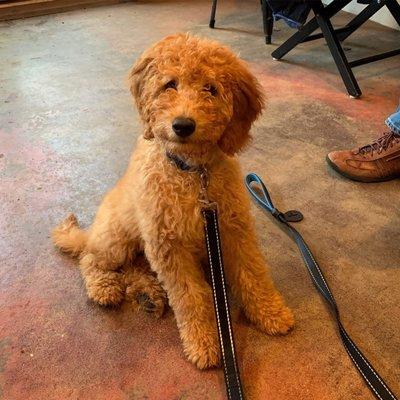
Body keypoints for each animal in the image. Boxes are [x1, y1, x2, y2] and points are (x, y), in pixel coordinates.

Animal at [52, 34, 294, 368]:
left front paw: (271, 312)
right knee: (91, 258)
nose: (182, 125)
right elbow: (190, 296)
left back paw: (149, 295)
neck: (191, 174)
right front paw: (203, 343)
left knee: (134, 268)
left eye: (211, 88)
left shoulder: (233, 230)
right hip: (117, 239)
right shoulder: (168, 246)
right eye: (170, 84)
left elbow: (253, 272)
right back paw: (105, 288)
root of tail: (91, 233)